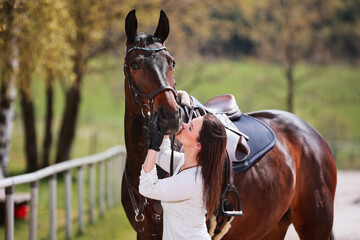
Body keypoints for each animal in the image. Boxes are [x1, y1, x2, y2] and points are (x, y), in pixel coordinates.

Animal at [121, 9, 338, 240]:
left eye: (171, 62)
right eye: (135, 65)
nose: (170, 115)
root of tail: (313, 136)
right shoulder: (145, 233)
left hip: (315, 225)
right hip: (274, 226)